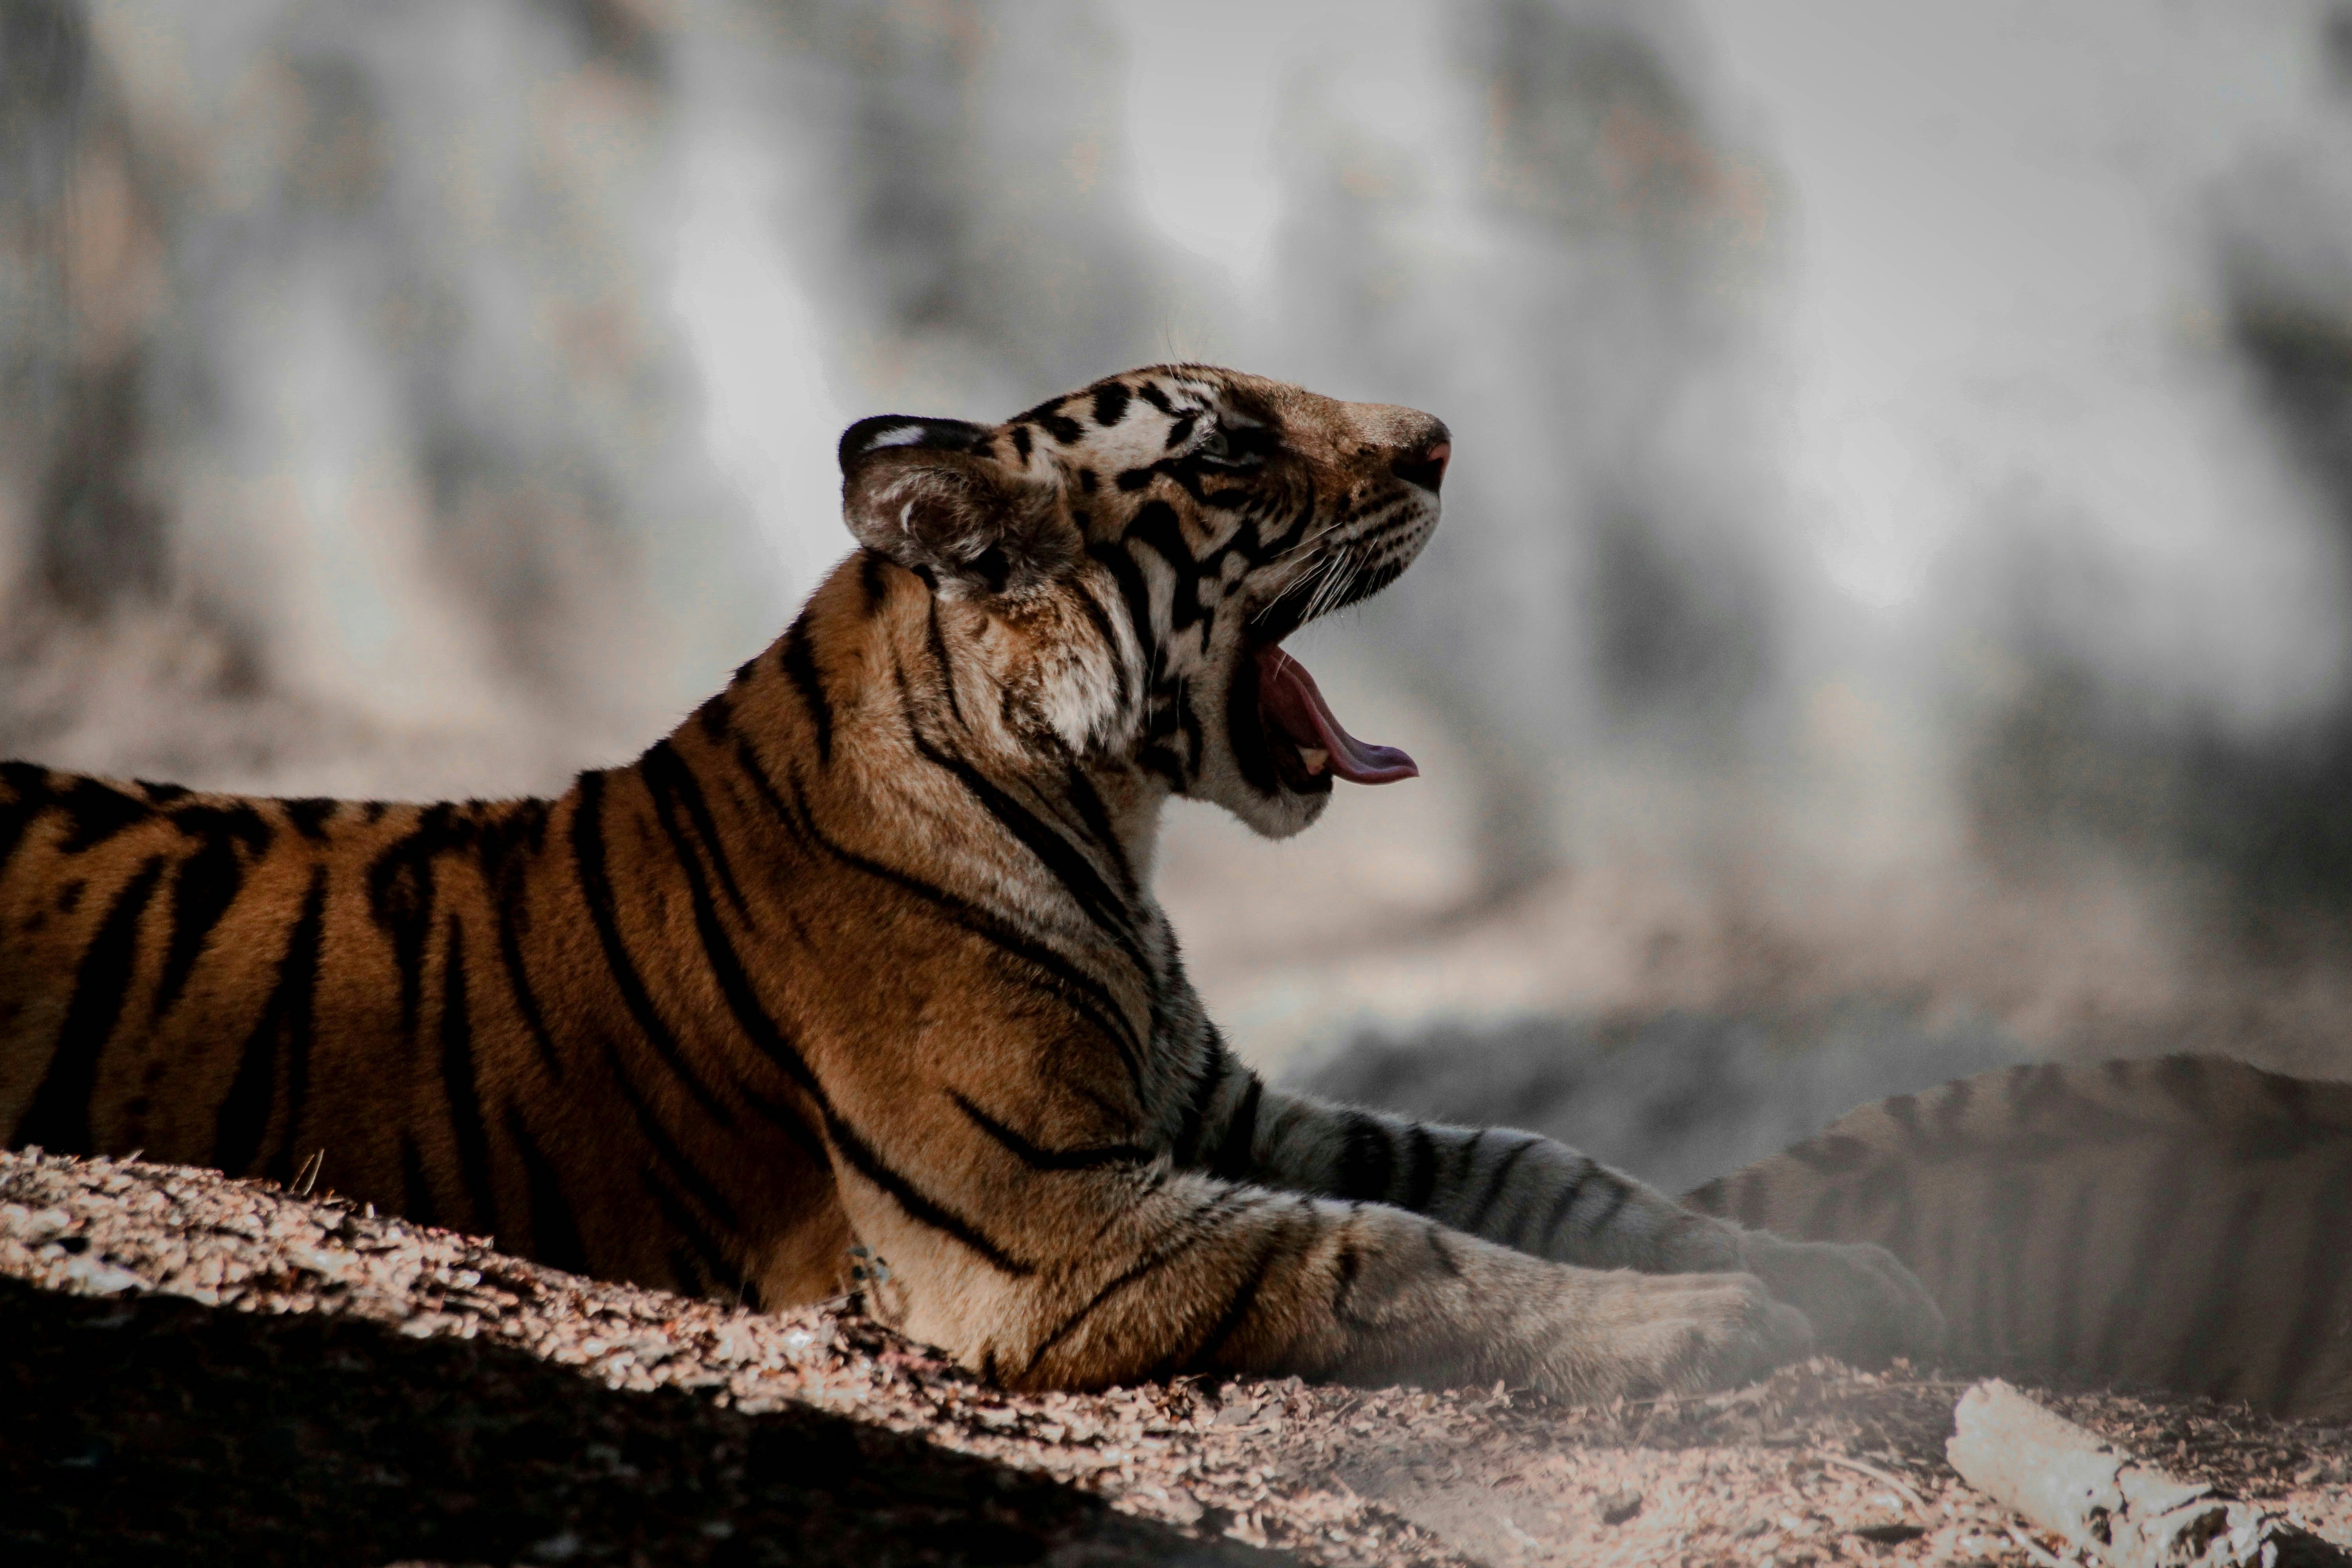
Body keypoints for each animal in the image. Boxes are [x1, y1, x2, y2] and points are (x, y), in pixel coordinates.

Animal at [0, 364, 1941, 1401]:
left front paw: (1835, 1268)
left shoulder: (1215, 1103)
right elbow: (1389, 1246)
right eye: (1234, 444)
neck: (1113, 822)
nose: (1446, 436)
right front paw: (1717, 1318)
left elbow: (1522, 1161)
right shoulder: (1040, 1222)